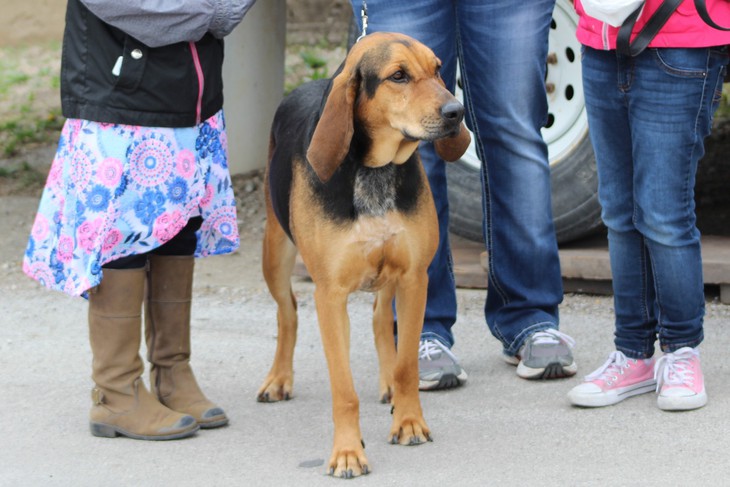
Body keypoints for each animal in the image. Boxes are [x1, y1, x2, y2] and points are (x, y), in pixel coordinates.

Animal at [258, 33, 470, 480]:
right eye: (398, 76)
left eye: (438, 68)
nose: (456, 112)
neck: (376, 170)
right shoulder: (330, 294)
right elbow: (344, 390)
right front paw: (347, 452)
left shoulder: (414, 278)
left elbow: (407, 367)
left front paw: (409, 421)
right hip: (275, 249)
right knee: (287, 312)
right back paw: (279, 378)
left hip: (389, 276)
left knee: (378, 318)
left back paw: (387, 381)